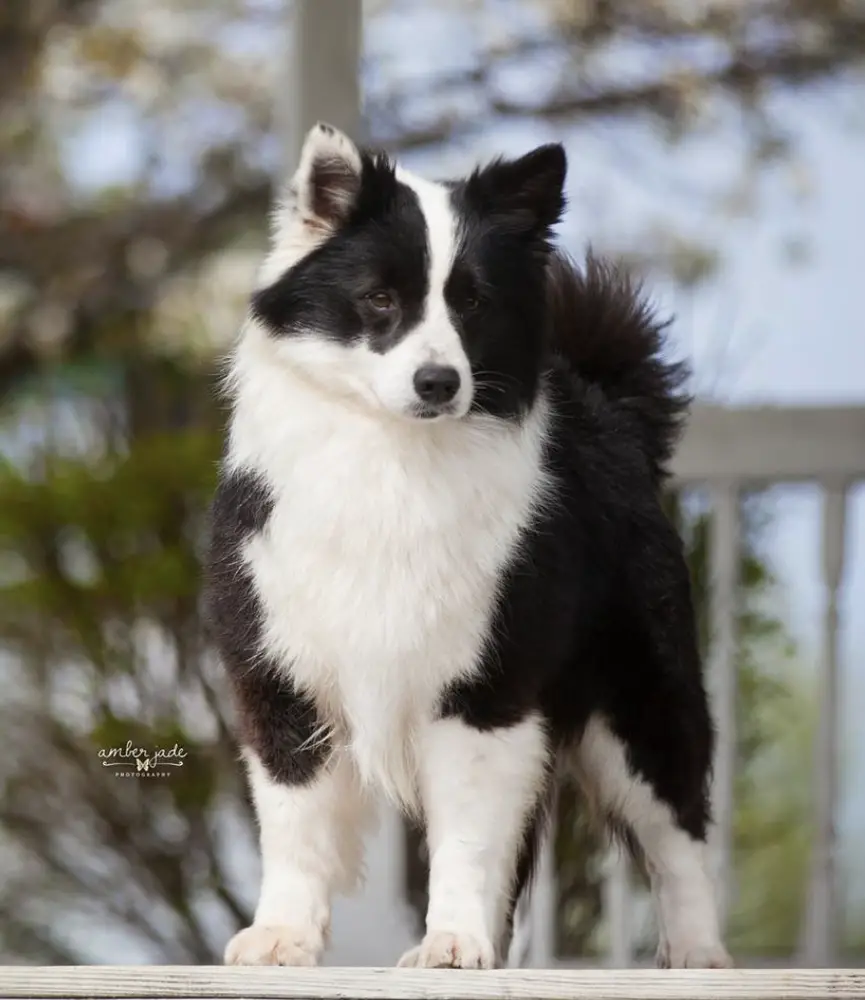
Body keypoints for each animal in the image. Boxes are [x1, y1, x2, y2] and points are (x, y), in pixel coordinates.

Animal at [206, 123, 732, 968]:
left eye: (473, 303)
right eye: (380, 300)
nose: (438, 383)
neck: (394, 455)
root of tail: (610, 412)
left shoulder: (485, 690)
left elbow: (467, 838)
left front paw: (451, 943)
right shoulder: (282, 675)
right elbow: (296, 822)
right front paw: (283, 934)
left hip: (639, 701)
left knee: (675, 829)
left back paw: (697, 955)